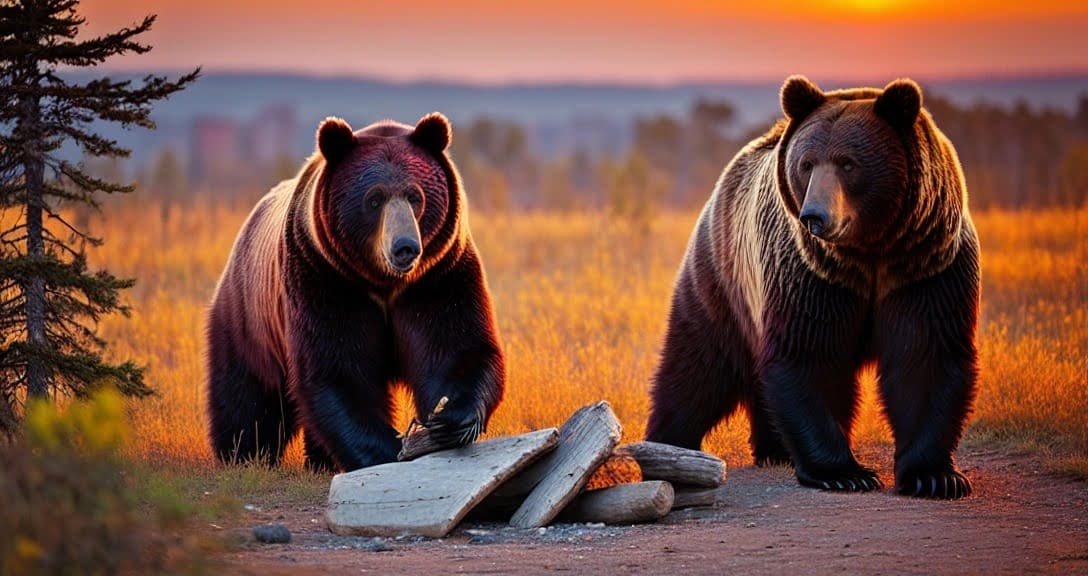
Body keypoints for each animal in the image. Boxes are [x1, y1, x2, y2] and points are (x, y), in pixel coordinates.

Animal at [205, 113, 505, 472]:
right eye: (374, 199)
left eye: (415, 196)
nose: (405, 247)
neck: (384, 283)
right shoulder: (325, 278)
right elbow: (338, 369)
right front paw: (386, 451)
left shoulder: (438, 275)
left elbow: (456, 347)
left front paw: (449, 420)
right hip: (250, 318)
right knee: (246, 396)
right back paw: (243, 454)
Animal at [646, 76, 979, 499]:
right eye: (806, 164)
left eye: (849, 163)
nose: (815, 217)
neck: (871, 252)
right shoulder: (811, 274)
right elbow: (808, 354)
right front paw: (844, 472)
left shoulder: (925, 265)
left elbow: (926, 355)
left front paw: (934, 476)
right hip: (723, 280)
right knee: (697, 364)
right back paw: (669, 443)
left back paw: (775, 448)